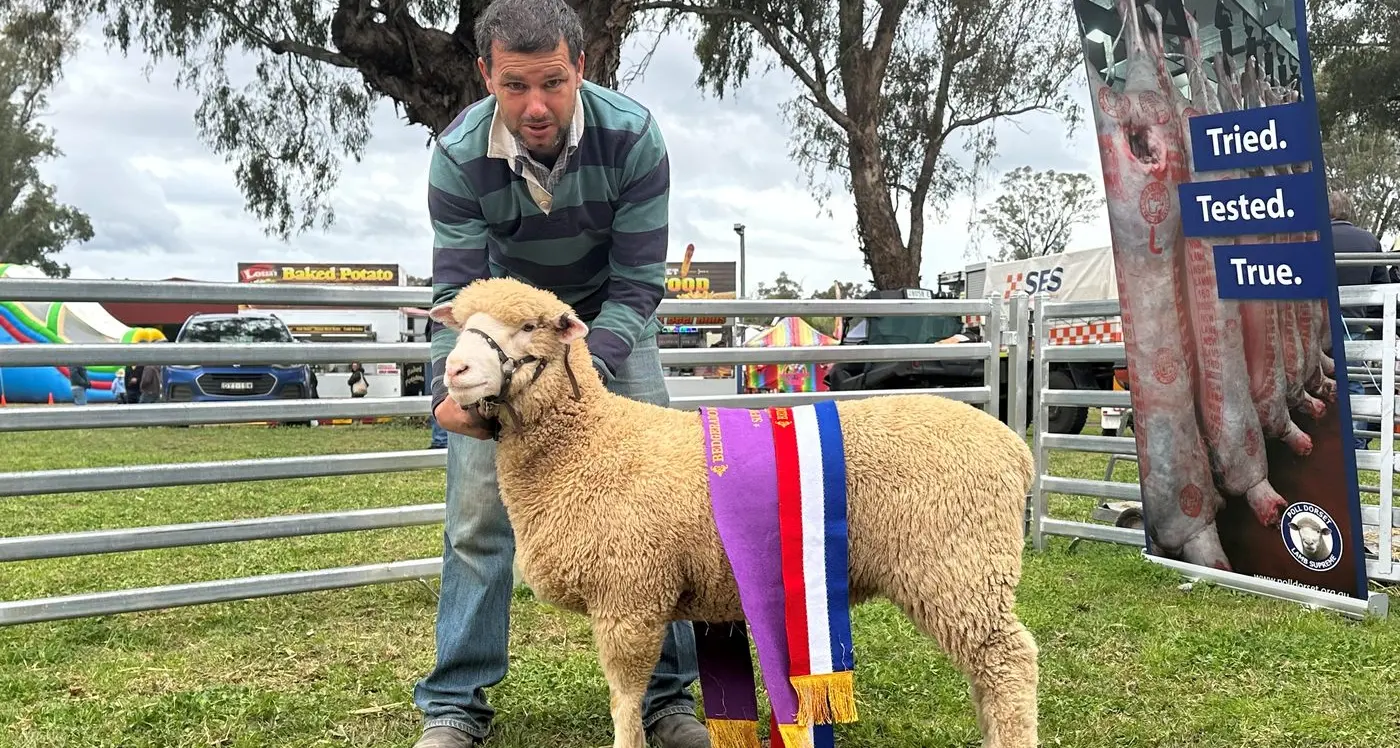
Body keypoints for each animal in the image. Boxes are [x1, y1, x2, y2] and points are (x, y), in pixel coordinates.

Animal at [428, 277, 1040, 748]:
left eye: (530, 326)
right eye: (459, 323)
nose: (454, 370)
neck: (588, 443)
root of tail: (1016, 448)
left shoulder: (628, 595)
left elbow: (625, 699)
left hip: (960, 566)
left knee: (1009, 663)